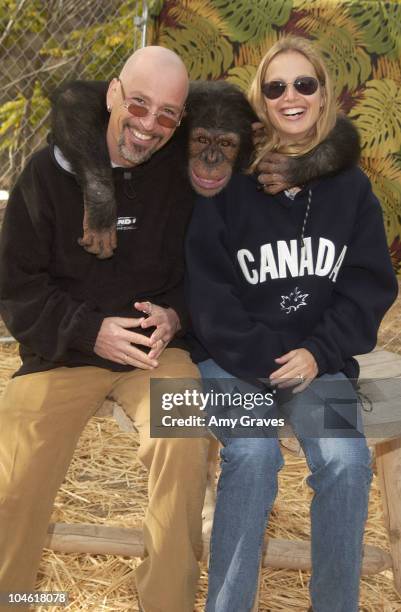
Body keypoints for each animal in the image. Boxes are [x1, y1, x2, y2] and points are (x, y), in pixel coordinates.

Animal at [50, 79, 360, 258]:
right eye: (201, 140)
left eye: (225, 143)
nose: (212, 158)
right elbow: (78, 98)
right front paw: (101, 206)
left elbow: (338, 130)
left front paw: (289, 170)